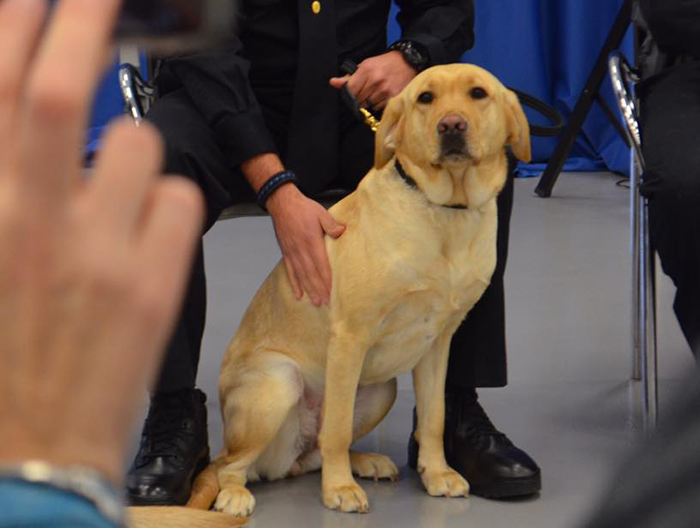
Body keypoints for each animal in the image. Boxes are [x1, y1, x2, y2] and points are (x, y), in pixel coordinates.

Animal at [127, 63, 532, 528]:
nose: (451, 126)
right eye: (425, 98)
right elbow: (335, 429)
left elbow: (433, 417)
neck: (443, 211)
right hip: (279, 383)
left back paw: (366, 462)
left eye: (478, 94)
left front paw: (437, 473)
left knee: (312, 452)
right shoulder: (350, 338)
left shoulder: (438, 343)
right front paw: (339, 490)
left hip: (381, 389)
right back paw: (235, 494)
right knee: (230, 464)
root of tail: (282, 460)